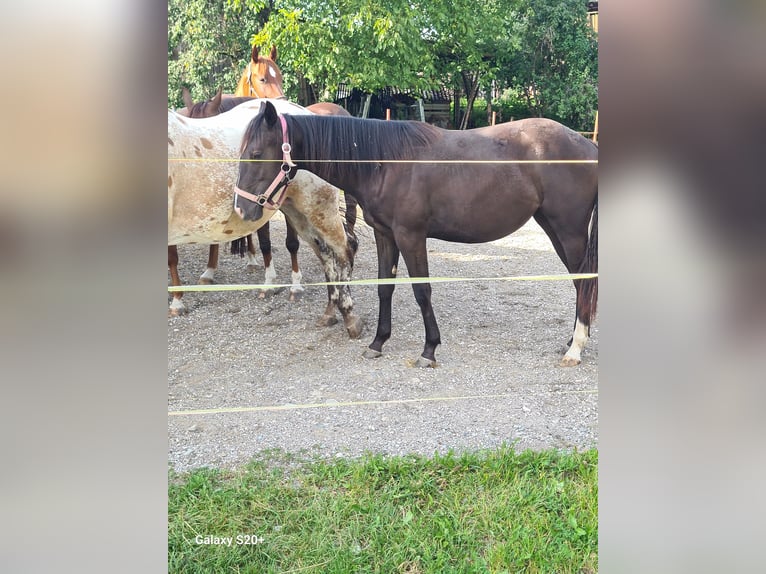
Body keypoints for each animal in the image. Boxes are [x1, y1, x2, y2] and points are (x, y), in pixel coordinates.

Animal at [234, 100, 600, 366]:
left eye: (256, 154)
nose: (242, 209)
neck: (385, 162)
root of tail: (588, 147)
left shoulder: (411, 236)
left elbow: (422, 290)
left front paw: (429, 349)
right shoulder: (385, 235)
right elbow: (385, 288)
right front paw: (378, 342)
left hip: (569, 230)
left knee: (584, 280)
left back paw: (576, 348)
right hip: (553, 227)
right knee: (580, 282)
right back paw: (574, 339)